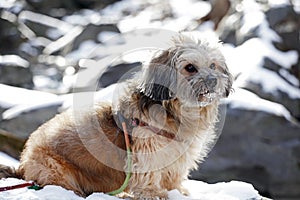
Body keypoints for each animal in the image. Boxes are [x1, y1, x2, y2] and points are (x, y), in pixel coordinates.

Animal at [0, 32, 233, 198]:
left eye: (213, 65)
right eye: (190, 68)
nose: (213, 80)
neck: (174, 109)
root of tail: (23, 165)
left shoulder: (177, 155)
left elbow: (174, 175)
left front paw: (178, 191)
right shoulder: (148, 150)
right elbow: (149, 174)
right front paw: (154, 193)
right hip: (55, 168)